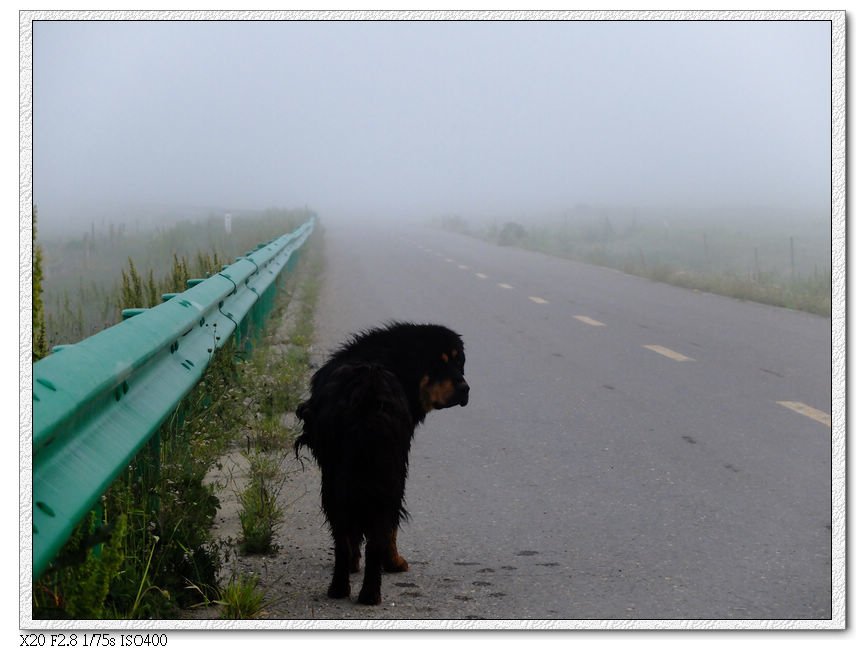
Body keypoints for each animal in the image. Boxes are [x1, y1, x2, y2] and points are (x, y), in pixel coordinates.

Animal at [294, 322, 470, 604]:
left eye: (458, 361)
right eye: (439, 363)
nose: (465, 388)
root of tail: (367, 395)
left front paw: (362, 562)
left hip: (341, 479)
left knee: (347, 533)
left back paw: (345, 589)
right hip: (384, 474)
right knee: (376, 530)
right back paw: (368, 589)